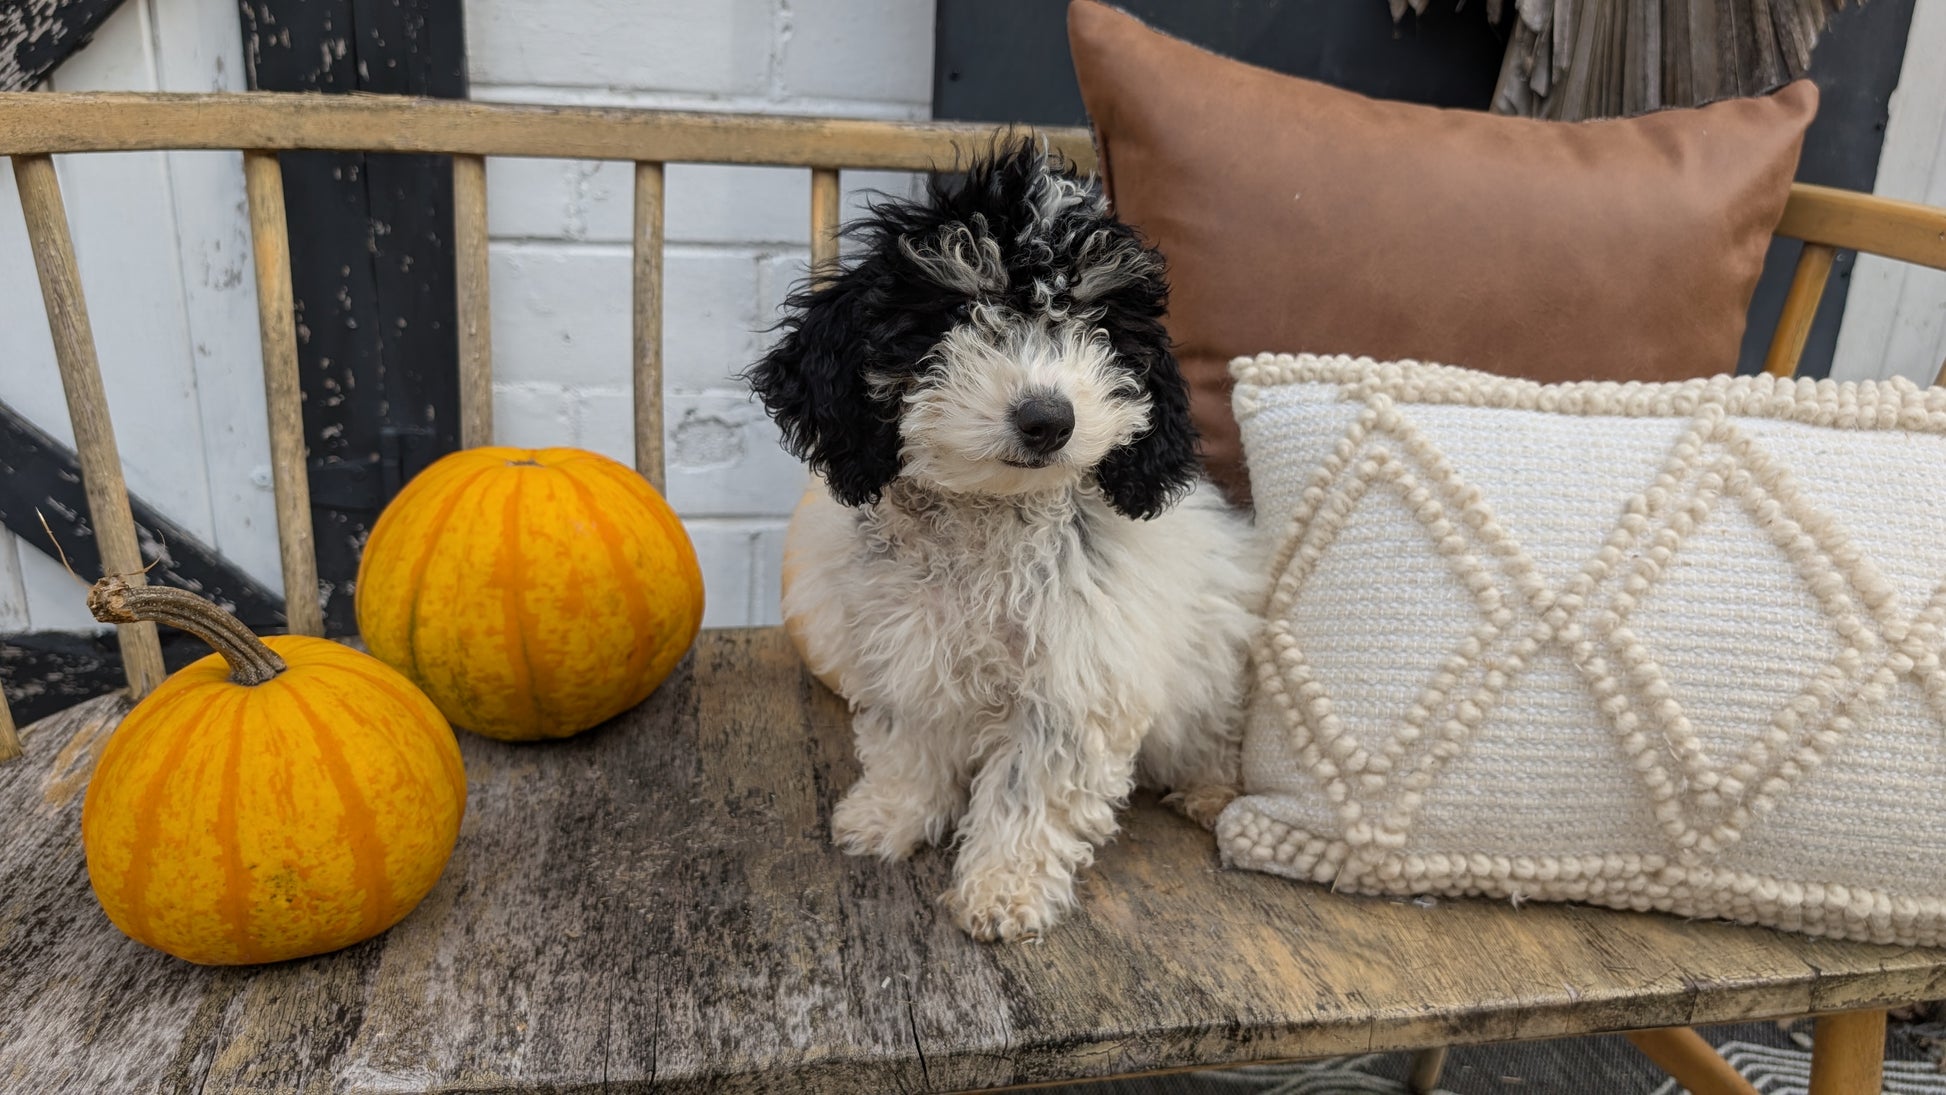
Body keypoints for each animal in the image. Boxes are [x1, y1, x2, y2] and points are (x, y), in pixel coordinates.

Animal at [747, 139, 1261, 942]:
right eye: (962, 309)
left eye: (1093, 321)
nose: (1047, 418)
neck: (993, 518)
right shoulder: (910, 649)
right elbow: (908, 742)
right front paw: (888, 816)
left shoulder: (1074, 688)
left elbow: (1028, 792)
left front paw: (1001, 889)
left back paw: (1212, 792)